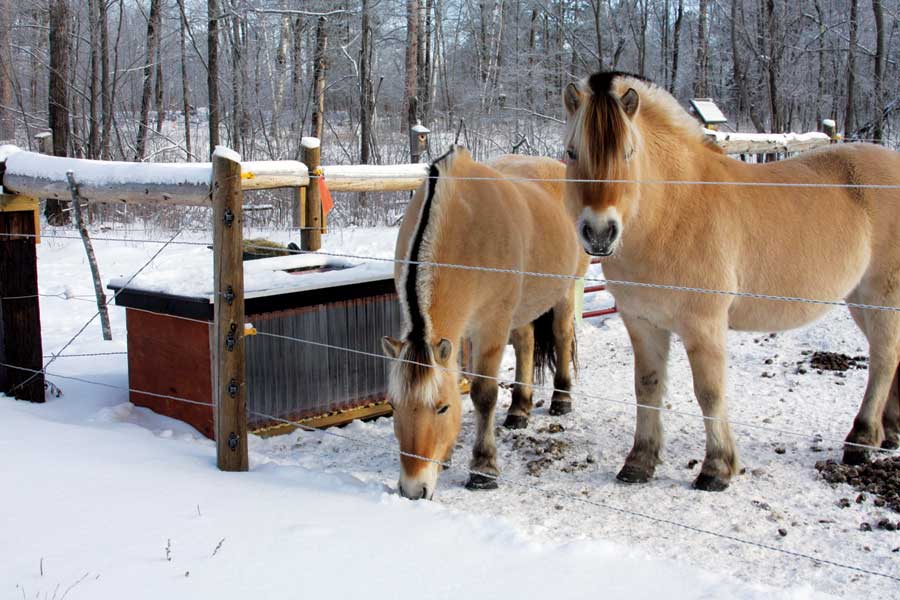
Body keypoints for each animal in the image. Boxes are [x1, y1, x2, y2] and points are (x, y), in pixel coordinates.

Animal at [382, 148, 589, 500]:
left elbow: (483, 394)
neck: (463, 226)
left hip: (563, 292)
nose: (412, 490)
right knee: (526, 343)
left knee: (561, 336)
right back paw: (519, 409)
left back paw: (561, 399)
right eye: (394, 406)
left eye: (442, 408)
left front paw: (483, 468)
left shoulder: (490, 326)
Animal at [562, 70, 900, 491]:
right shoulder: (643, 323)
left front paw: (717, 468)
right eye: (572, 152)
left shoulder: (704, 325)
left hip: (881, 296)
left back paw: (862, 440)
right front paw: (639, 462)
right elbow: (647, 386)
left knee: (884, 358)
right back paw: (890, 433)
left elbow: (709, 392)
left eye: (628, 153)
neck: (673, 212)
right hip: (860, 300)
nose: (599, 233)